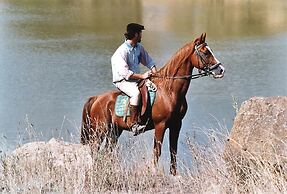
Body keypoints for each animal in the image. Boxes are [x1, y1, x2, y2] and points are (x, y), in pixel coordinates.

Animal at [80, 32, 225, 175]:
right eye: (205, 52)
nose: (221, 70)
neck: (169, 91)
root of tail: (96, 99)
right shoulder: (161, 125)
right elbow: (157, 151)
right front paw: (154, 172)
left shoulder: (176, 125)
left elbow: (173, 151)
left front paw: (174, 175)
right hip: (99, 131)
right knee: (94, 150)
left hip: (115, 131)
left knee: (107, 151)